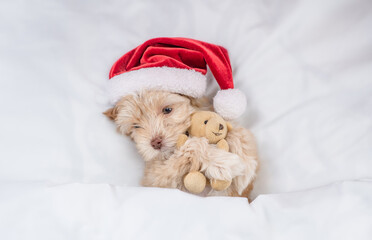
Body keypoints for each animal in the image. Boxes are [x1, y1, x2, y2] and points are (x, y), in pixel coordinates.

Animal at [103, 90, 258, 199]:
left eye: (167, 110)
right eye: (136, 126)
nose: (155, 142)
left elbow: (239, 132)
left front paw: (246, 167)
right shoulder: (156, 179)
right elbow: (191, 147)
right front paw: (223, 163)